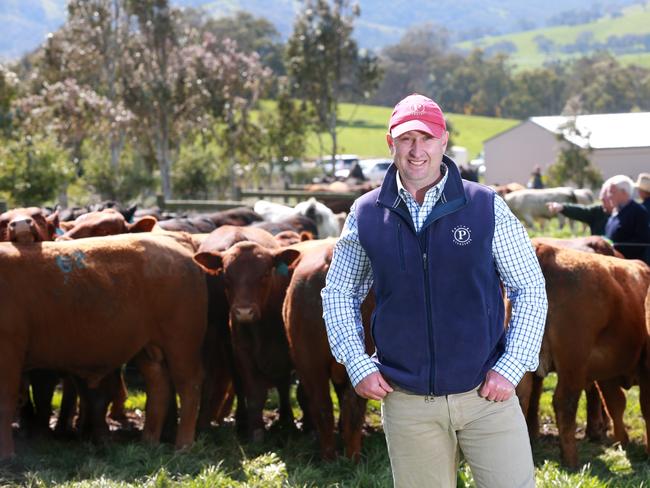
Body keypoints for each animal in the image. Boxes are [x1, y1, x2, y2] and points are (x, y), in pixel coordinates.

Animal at [0, 233, 206, 458]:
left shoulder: (9, 352)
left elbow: (5, 401)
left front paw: (6, 455)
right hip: (147, 348)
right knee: (159, 385)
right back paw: (148, 442)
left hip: (181, 343)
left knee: (189, 387)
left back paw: (183, 446)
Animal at [192, 225, 302, 442]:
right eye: (226, 277)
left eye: (265, 274)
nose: (244, 312)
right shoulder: (241, 348)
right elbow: (252, 392)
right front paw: (256, 431)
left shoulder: (285, 349)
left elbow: (283, 384)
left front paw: (287, 421)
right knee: (234, 381)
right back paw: (238, 422)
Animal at [516, 243, 648, 466]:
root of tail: (545, 249)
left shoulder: (607, 372)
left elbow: (616, 404)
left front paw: (623, 441)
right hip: (573, 362)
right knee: (564, 402)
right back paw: (571, 461)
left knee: (522, 397)